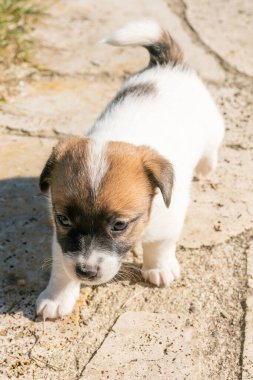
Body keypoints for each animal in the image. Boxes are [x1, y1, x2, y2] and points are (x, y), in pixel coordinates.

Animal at [35, 20, 223, 318]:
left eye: (119, 225)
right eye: (64, 219)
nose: (86, 271)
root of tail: (166, 64)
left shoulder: (169, 218)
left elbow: (159, 244)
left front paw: (159, 267)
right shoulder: (61, 238)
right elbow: (62, 266)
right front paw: (57, 298)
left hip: (213, 128)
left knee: (211, 147)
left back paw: (206, 167)